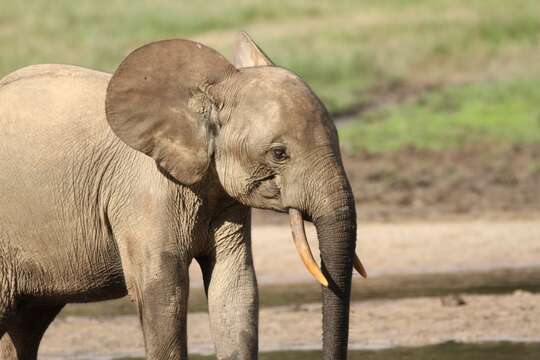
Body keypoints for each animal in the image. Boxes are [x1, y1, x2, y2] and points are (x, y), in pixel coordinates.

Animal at [0, 32, 368, 358]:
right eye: (279, 153)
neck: (210, 89)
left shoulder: (221, 193)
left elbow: (235, 288)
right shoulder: (143, 190)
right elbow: (164, 293)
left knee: (25, 325)